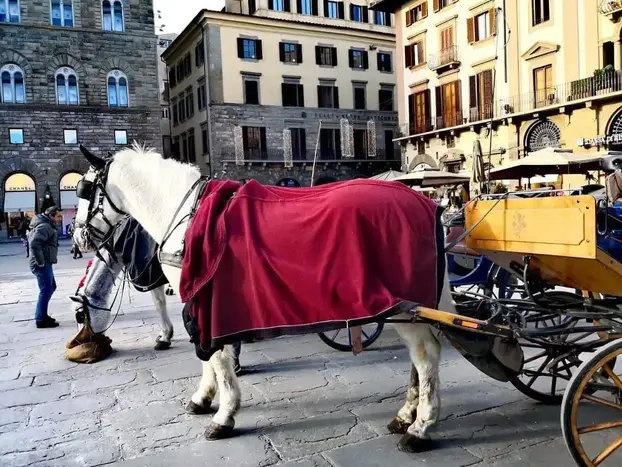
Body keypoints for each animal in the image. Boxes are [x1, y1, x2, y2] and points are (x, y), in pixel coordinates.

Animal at [72, 143, 456, 453]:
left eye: (85, 190)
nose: (78, 239)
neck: (187, 216)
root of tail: (425, 203)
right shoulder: (202, 303)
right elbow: (210, 357)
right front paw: (204, 398)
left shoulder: (207, 302)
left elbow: (218, 360)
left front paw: (224, 414)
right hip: (411, 309)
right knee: (418, 358)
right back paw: (406, 415)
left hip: (404, 306)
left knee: (425, 357)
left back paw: (421, 427)